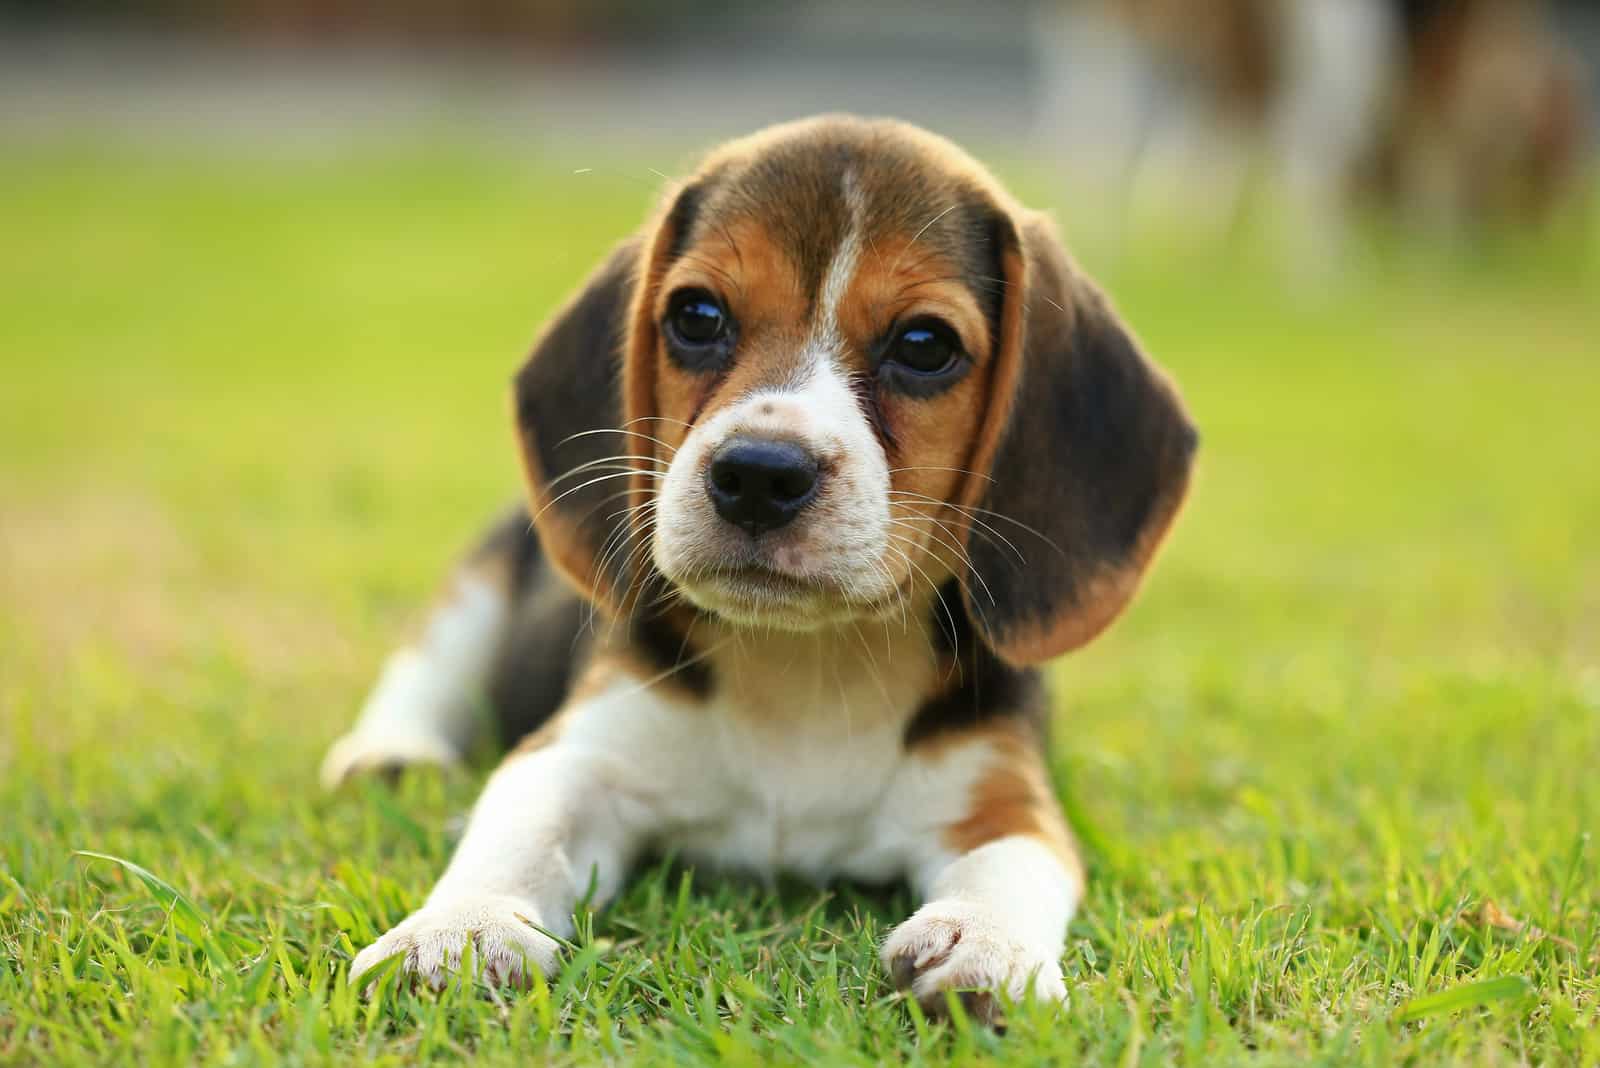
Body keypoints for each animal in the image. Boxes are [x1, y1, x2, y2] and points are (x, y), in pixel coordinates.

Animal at [324, 115, 1196, 1016]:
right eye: (696, 315)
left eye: (926, 345)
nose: (757, 474)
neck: (806, 661)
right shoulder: (581, 753)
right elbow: (521, 826)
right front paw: (459, 927)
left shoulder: (1004, 793)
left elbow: (1012, 865)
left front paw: (986, 944)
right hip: (483, 582)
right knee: (424, 667)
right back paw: (391, 756)